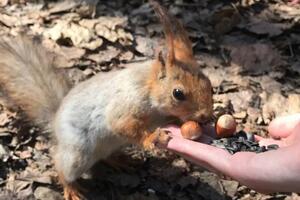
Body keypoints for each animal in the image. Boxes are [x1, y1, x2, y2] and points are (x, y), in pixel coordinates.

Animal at [0, 0, 213, 199]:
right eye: (178, 93)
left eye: (209, 84)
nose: (207, 116)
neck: (150, 91)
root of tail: (55, 122)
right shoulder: (126, 103)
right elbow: (121, 124)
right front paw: (153, 137)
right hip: (77, 153)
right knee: (62, 165)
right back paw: (71, 189)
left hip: (111, 144)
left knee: (104, 156)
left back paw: (120, 160)